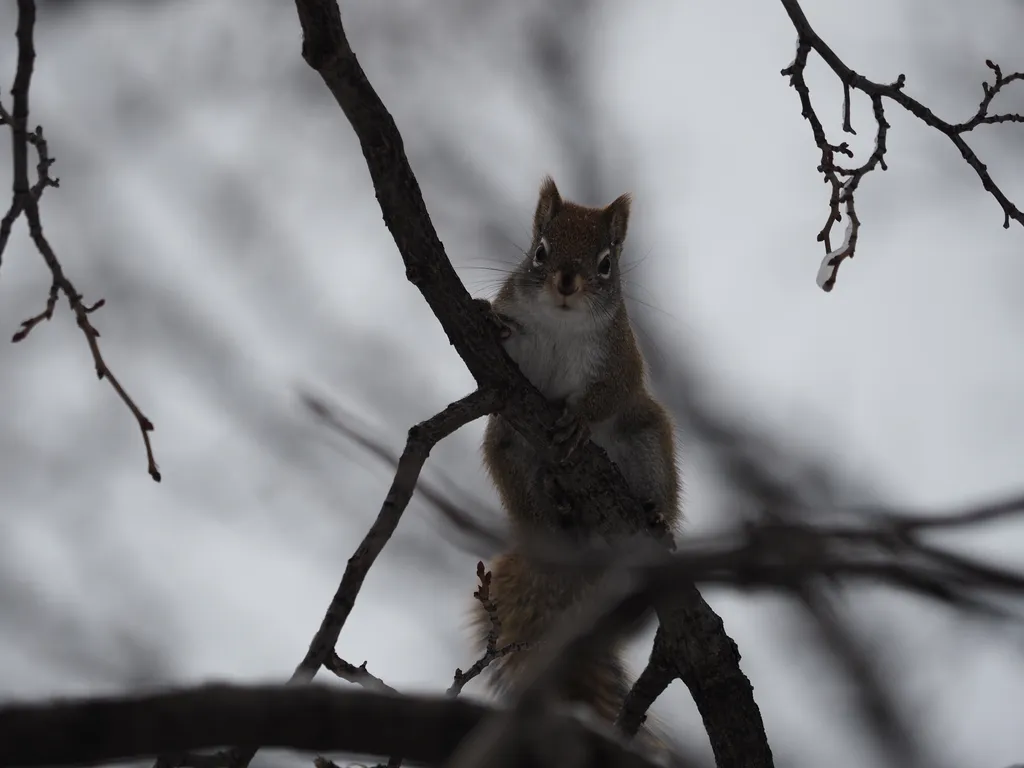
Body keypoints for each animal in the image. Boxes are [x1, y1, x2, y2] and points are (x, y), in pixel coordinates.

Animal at [468, 176, 679, 741]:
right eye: (540, 252)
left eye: (605, 264)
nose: (567, 282)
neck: (561, 324)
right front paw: (488, 316)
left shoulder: (620, 361)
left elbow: (606, 397)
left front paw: (580, 422)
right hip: (507, 454)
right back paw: (558, 505)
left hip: (646, 438)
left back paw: (653, 517)